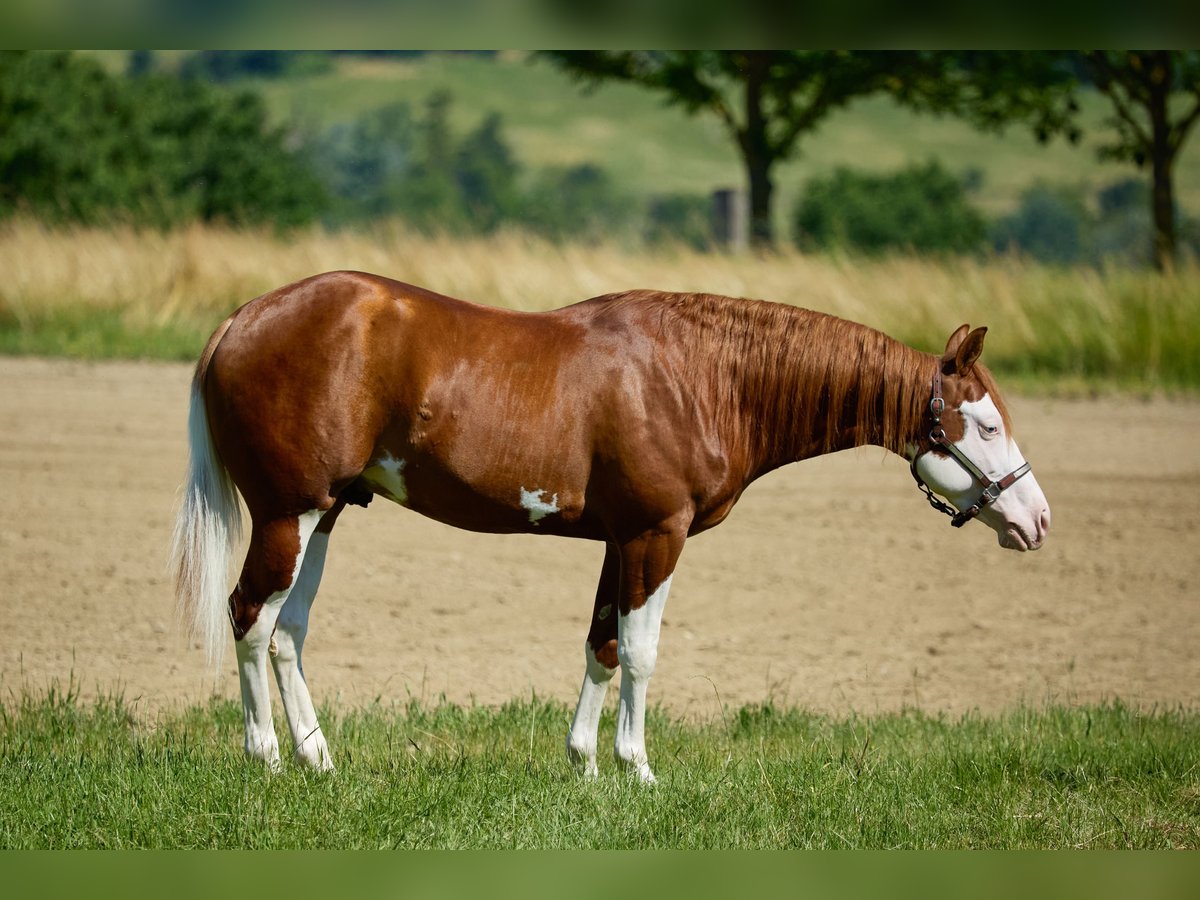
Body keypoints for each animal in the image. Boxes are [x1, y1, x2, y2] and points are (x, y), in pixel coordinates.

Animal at [171, 270, 1050, 781]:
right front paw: (638, 768)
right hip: (288, 513)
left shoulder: (617, 539)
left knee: (289, 631)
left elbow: (600, 645)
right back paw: (267, 759)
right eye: (983, 425)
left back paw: (318, 758)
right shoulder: (656, 535)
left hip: (324, 515)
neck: (702, 376)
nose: (1036, 520)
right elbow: (641, 651)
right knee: (250, 619)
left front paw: (585, 765)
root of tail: (240, 319)